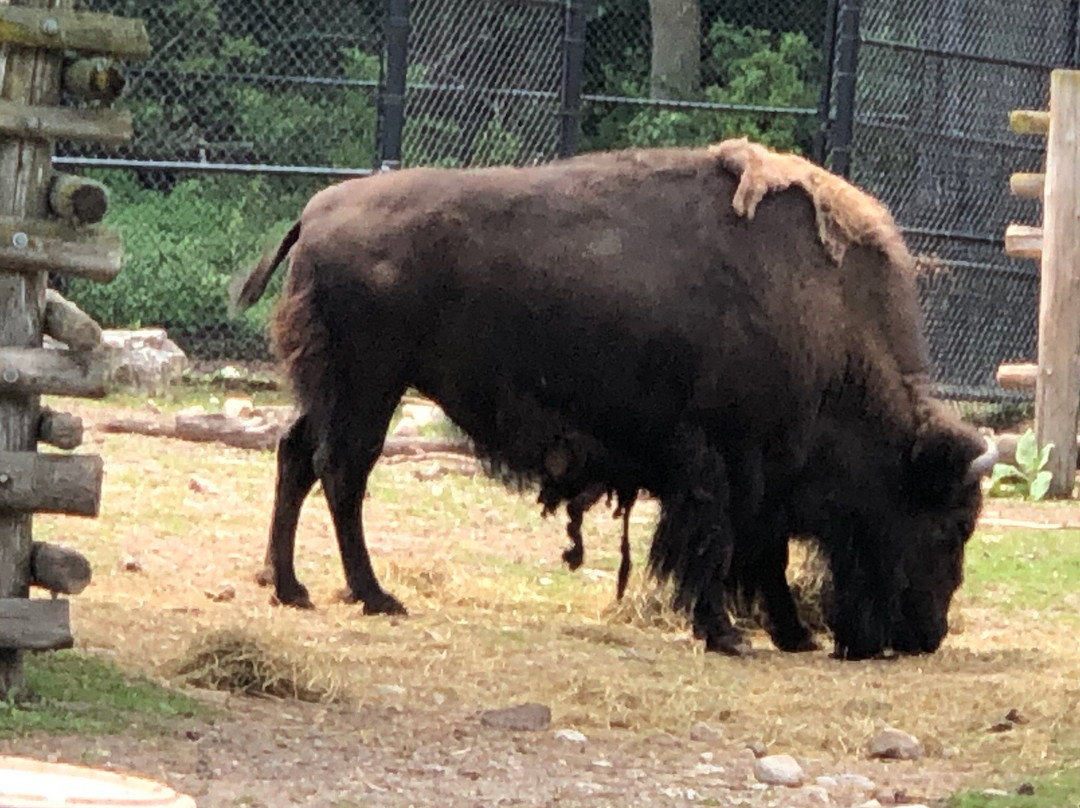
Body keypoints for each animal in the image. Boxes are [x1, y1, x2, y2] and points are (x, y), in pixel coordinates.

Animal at [234, 137, 993, 656]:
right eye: (949, 524)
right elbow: (718, 547)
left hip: (336, 392)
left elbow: (763, 554)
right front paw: (726, 633)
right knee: (342, 474)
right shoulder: (721, 464)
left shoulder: (763, 478)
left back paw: (291, 587)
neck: (823, 312)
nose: (926, 634)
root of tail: (316, 212)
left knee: (296, 457)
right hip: (369, 388)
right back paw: (375, 596)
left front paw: (788, 633)